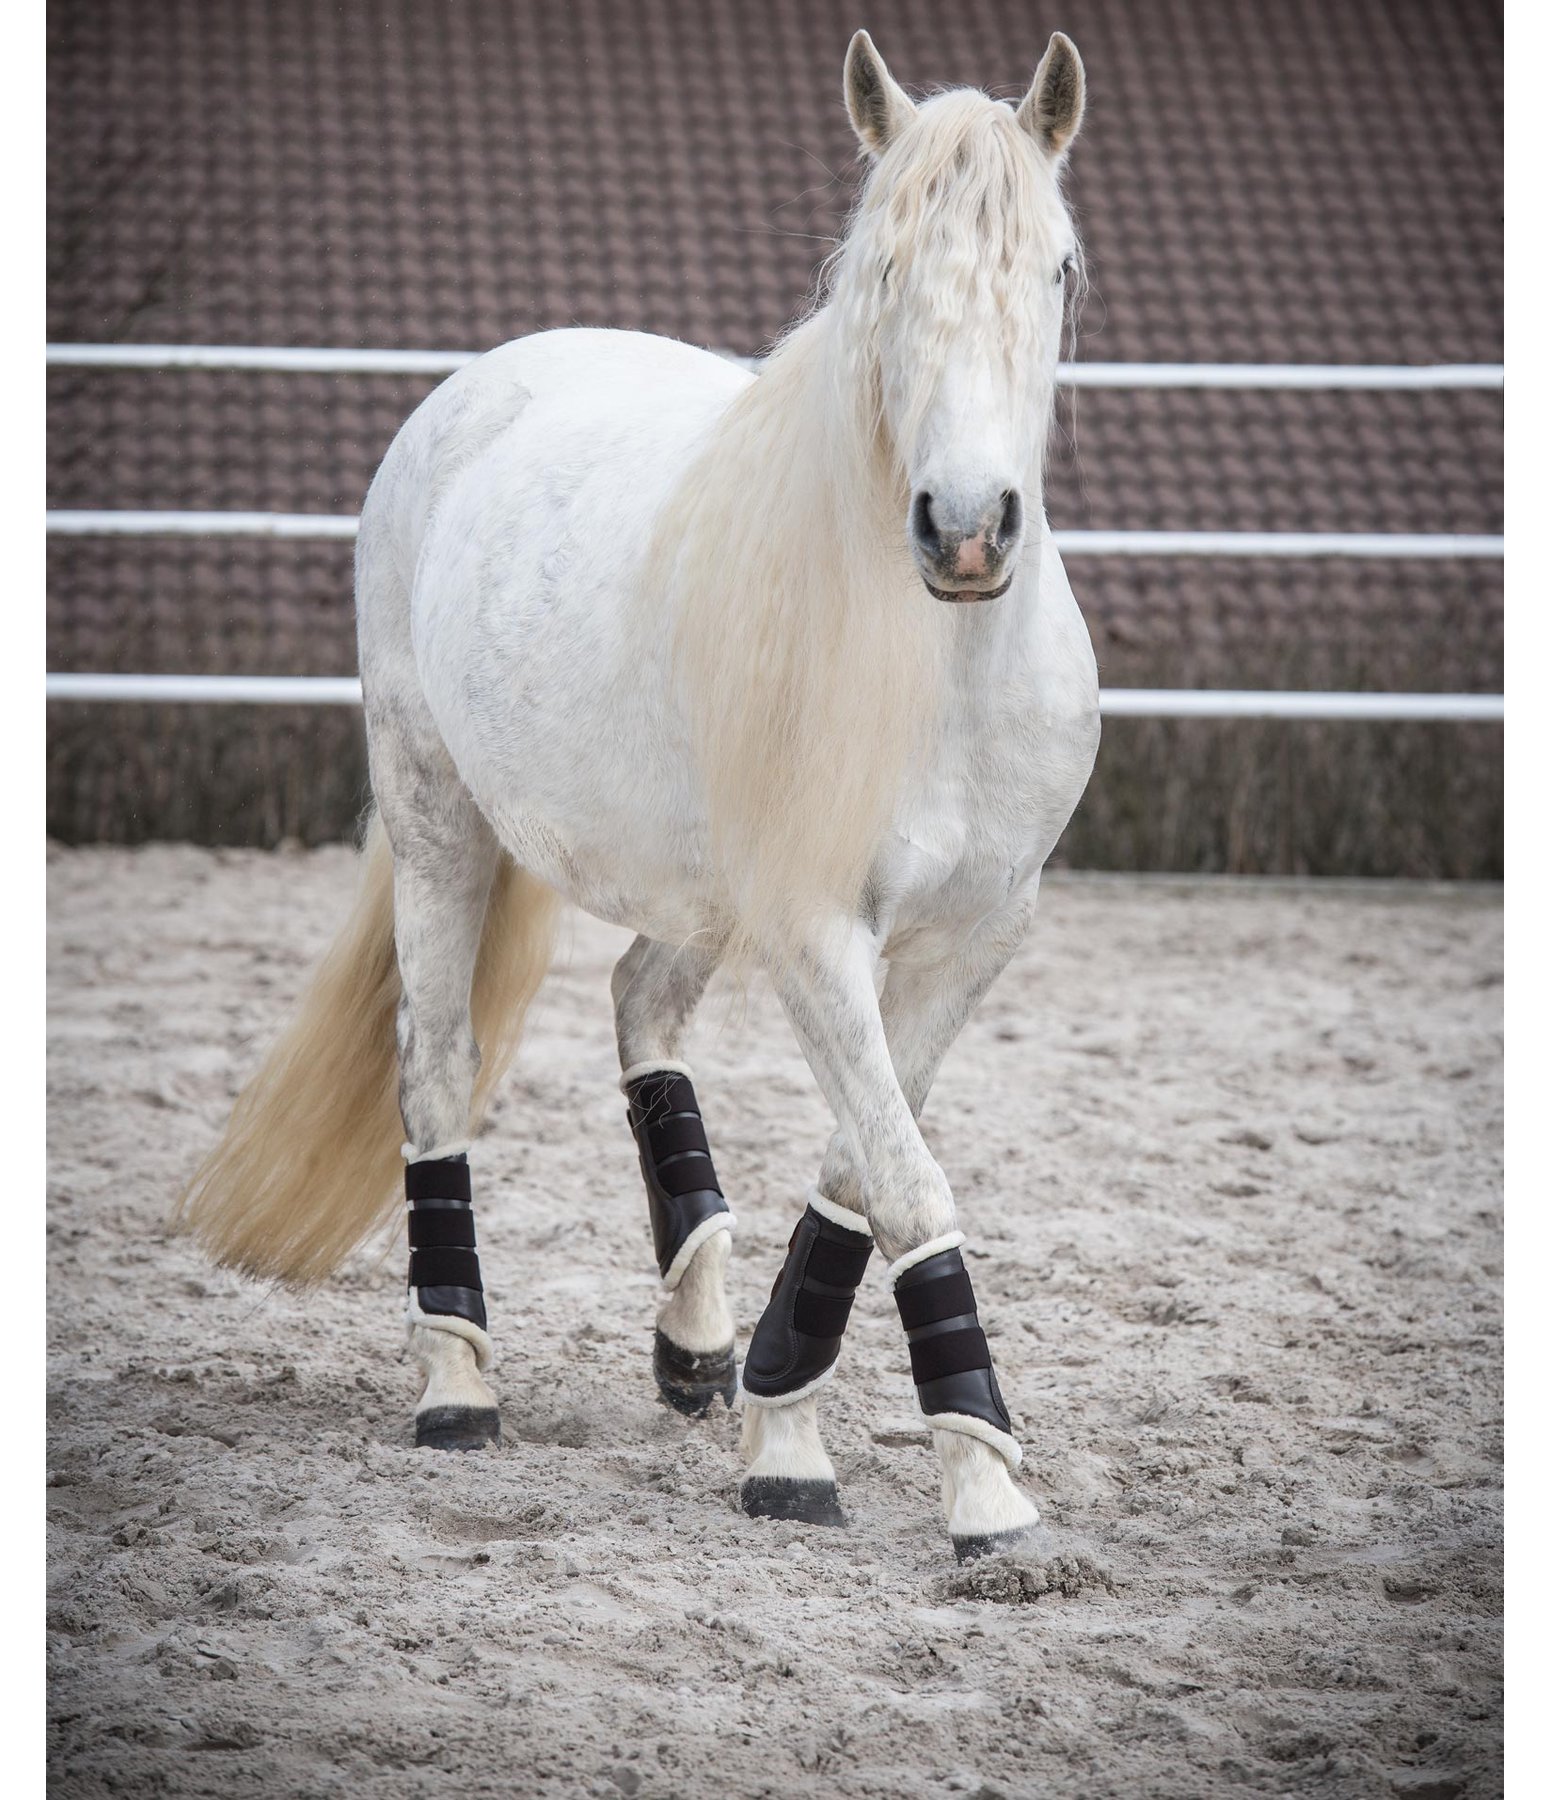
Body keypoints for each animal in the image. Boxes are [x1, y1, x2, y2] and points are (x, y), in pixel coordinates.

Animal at [178, 35, 1101, 1569]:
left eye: (1062, 268)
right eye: (882, 267)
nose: (966, 531)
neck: (937, 672)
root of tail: (483, 385)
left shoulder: (975, 939)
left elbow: (860, 1172)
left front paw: (779, 1412)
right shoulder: (814, 934)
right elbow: (903, 1178)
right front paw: (971, 1487)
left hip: (689, 891)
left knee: (638, 1007)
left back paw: (695, 1339)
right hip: (437, 817)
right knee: (434, 1066)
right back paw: (456, 1387)